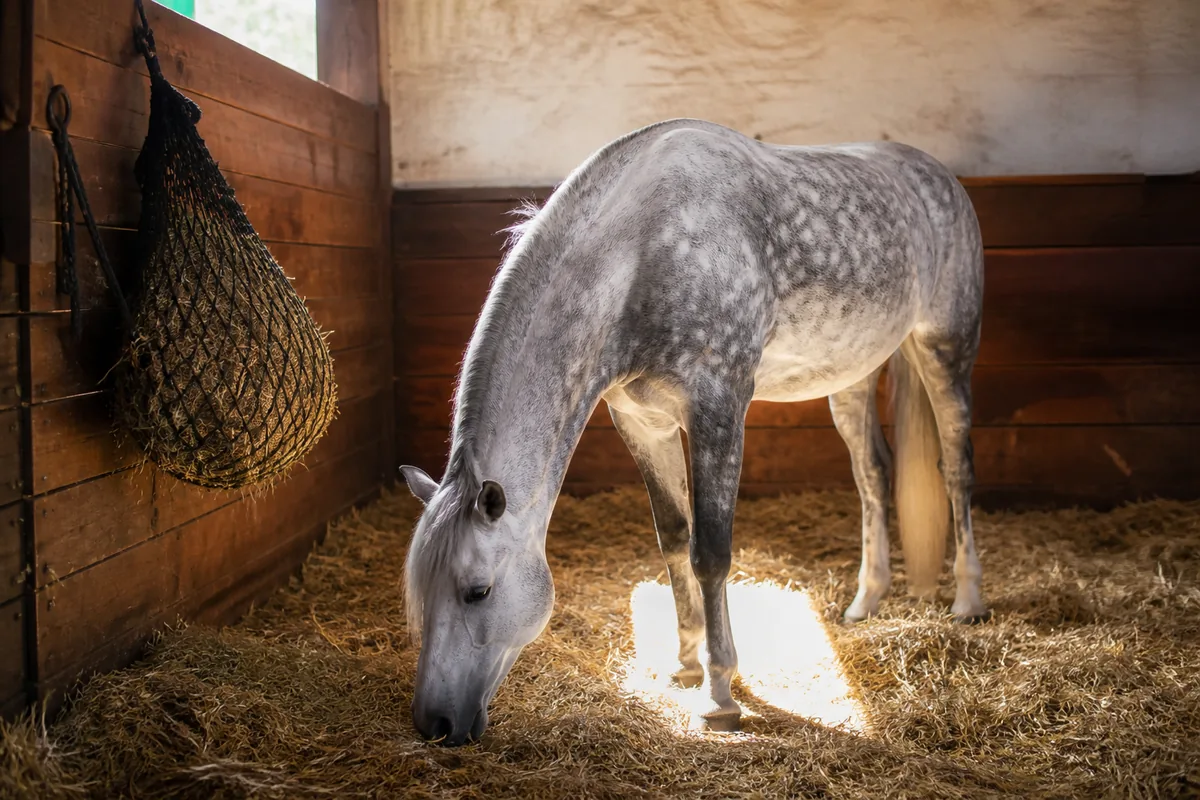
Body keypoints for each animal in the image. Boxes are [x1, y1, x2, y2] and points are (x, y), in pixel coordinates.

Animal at [398, 118, 988, 746]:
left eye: (477, 590)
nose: (435, 723)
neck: (641, 256)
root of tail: (939, 177)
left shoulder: (718, 408)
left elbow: (711, 552)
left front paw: (719, 695)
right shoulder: (643, 423)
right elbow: (675, 537)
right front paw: (683, 663)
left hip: (945, 350)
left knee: (956, 467)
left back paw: (969, 600)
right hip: (854, 376)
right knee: (873, 473)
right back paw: (866, 601)